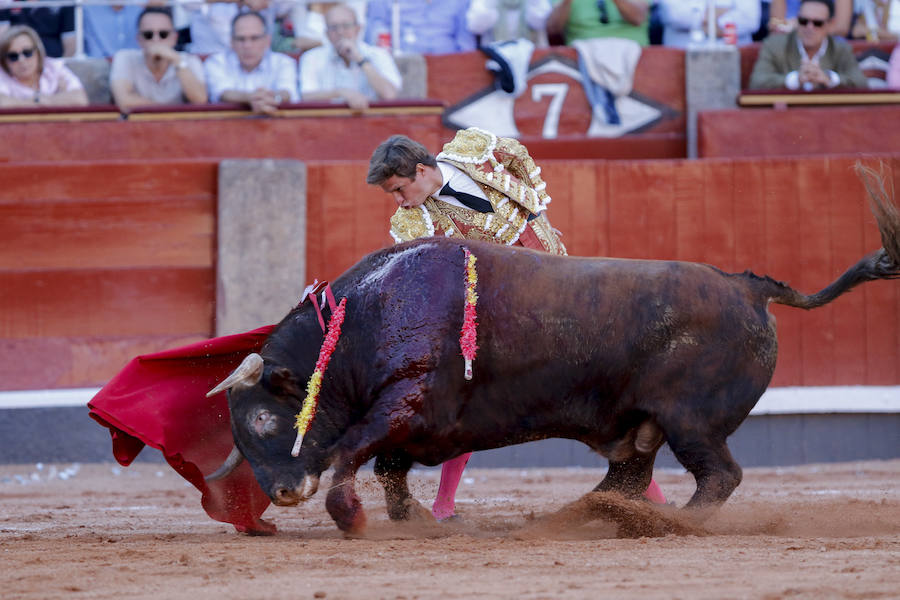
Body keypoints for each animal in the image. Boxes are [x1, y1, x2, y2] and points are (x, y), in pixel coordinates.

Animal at [206, 166, 900, 532]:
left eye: (264, 419)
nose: (282, 493)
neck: (364, 317)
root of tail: (745, 285)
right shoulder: (414, 421)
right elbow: (388, 467)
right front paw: (411, 521)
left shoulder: (405, 399)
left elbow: (353, 449)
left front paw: (350, 516)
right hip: (644, 424)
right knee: (628, 476)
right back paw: (580, 516)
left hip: (691, 420)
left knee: (717, 475)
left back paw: (674, 522)